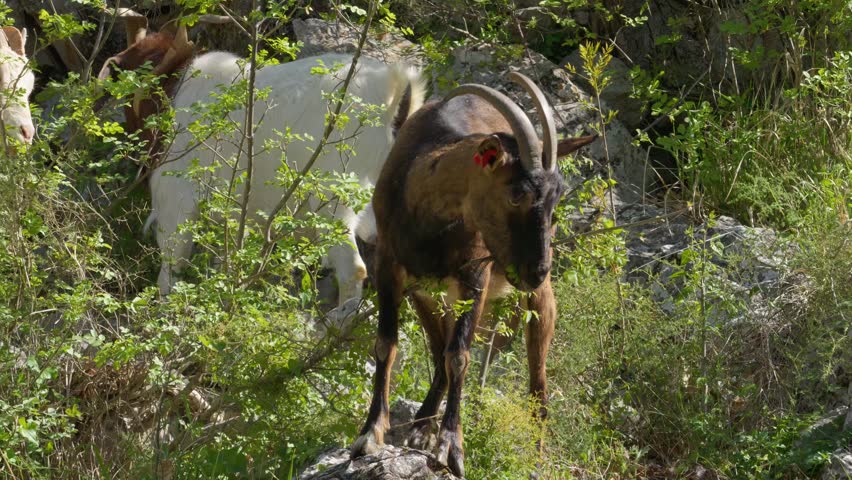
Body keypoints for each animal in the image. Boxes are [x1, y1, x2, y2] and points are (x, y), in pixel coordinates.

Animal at [98, 19, 425, 321]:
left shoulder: (176, 199)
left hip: (332, 201)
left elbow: (171, 269)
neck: (174, 89)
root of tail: (394, 93)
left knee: (353, 269)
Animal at [349, 72, 596, 477]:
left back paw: (535, 455)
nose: (535, 270)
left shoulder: (474, 275)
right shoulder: (389, 266)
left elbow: (459, 356)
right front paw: (370, 434)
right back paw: (421, 426)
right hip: (430, 293)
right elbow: (387, 344)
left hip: (532, 300)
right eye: (516, 193)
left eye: (557, 197)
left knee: (537, 383)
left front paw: (451, 448)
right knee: (438, 351)